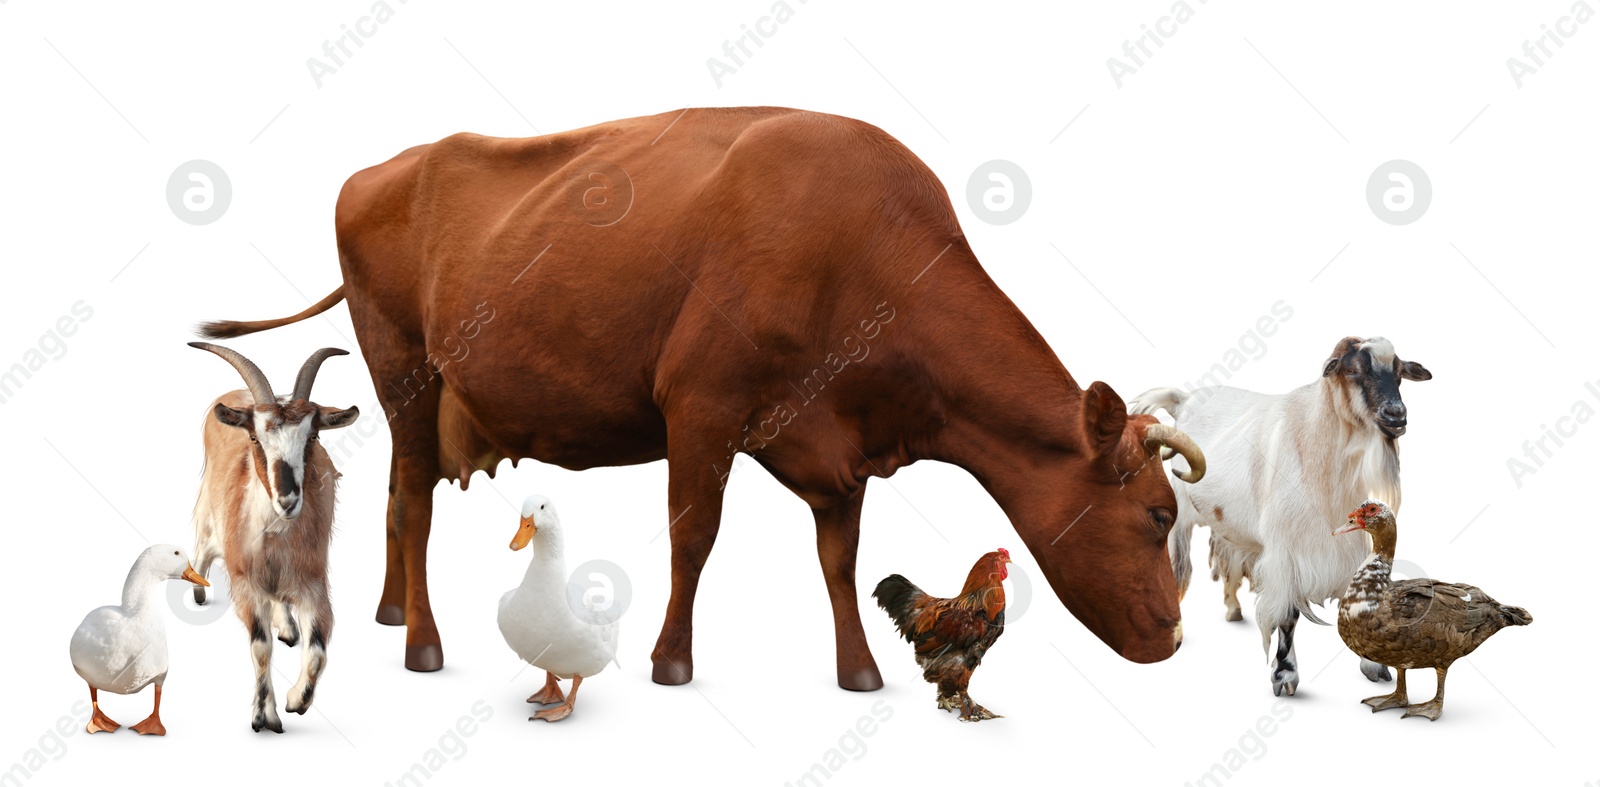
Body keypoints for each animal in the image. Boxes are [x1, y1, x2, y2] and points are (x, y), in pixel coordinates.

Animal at [188, 342, 358, 732]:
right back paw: (199, 592)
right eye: (255, 437)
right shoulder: (245, 584)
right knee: (202, 545)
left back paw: (288, 627)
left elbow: (318, 651)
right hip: (208, 513)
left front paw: (296, 701)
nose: (288, 500)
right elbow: (261, 647)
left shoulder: (313, 583)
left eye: (312, 437)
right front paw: (265, 716)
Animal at [200, 106, 1203, 687]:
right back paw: (422, 643)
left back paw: (389, 609)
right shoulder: (701, 407)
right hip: (406, 368)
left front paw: (859, 671)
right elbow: (696, 537)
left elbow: (841, 559)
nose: (1173, 637)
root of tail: (387, 165)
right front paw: (671, 661)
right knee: (412, 502)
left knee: (396, 501)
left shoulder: (838, 448)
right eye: (1157, 514)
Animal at [1132, 335, 1433, 694]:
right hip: (1180, 514)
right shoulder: (1285, 552)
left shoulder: (1348, 543)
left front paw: (1373, 664)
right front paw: (1285, 676)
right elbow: (1288, 615)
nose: (1396, 415)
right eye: (1351, 370)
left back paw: (1233, 609)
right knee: (1180, 568)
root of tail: (1184, 399)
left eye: (1400, 373)